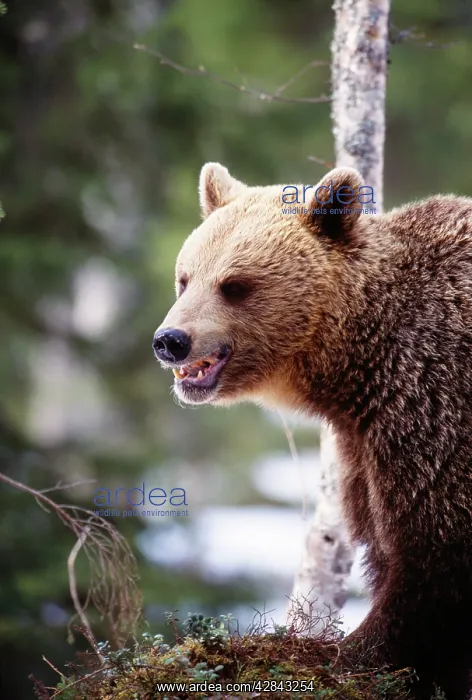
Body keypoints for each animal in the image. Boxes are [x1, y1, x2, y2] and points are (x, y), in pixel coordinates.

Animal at [153, 162, 472, 700]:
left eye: (234, 284)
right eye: (185, 278)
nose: (170, 340)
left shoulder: (434, 404)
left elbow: (434, 553)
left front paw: (346, 656)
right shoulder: (366, 443)